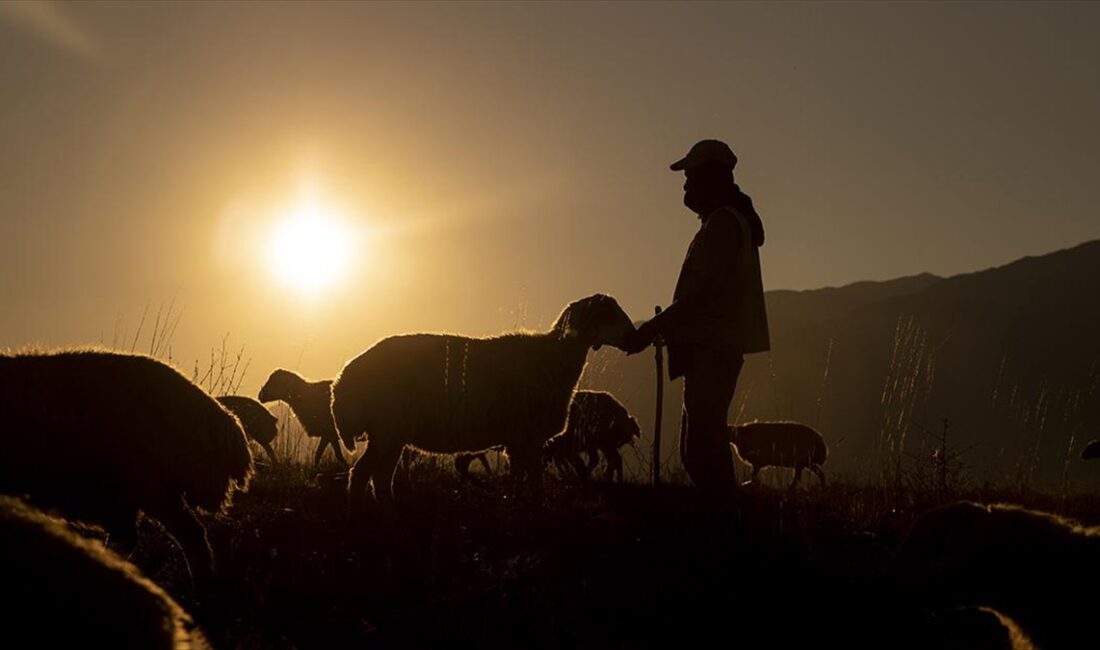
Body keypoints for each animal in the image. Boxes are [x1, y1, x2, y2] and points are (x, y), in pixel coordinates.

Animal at [330, 292, 633, 505]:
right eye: (607, 314)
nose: (634, 337)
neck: (553, 358)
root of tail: (342, 383)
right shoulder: (526, 436)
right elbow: (531, 484)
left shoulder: (521, 440)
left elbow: (523, 480)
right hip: (389, 429)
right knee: (367, 475)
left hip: (388, 433)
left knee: (372, 477)